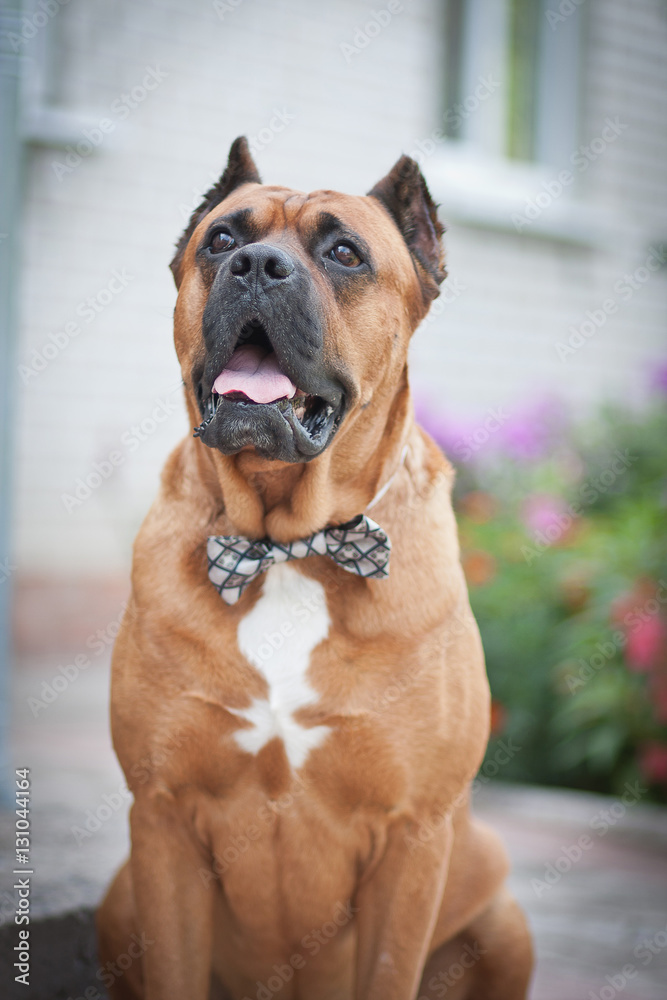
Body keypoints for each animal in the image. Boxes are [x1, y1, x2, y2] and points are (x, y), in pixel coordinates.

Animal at [96, 135, 536, 1000]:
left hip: (502, 911)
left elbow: (390, 968)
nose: (257, 266)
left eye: (344, 253)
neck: (286, 546)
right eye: (222, 240)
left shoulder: (411, 838)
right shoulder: (161, 824)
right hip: (119, 896)